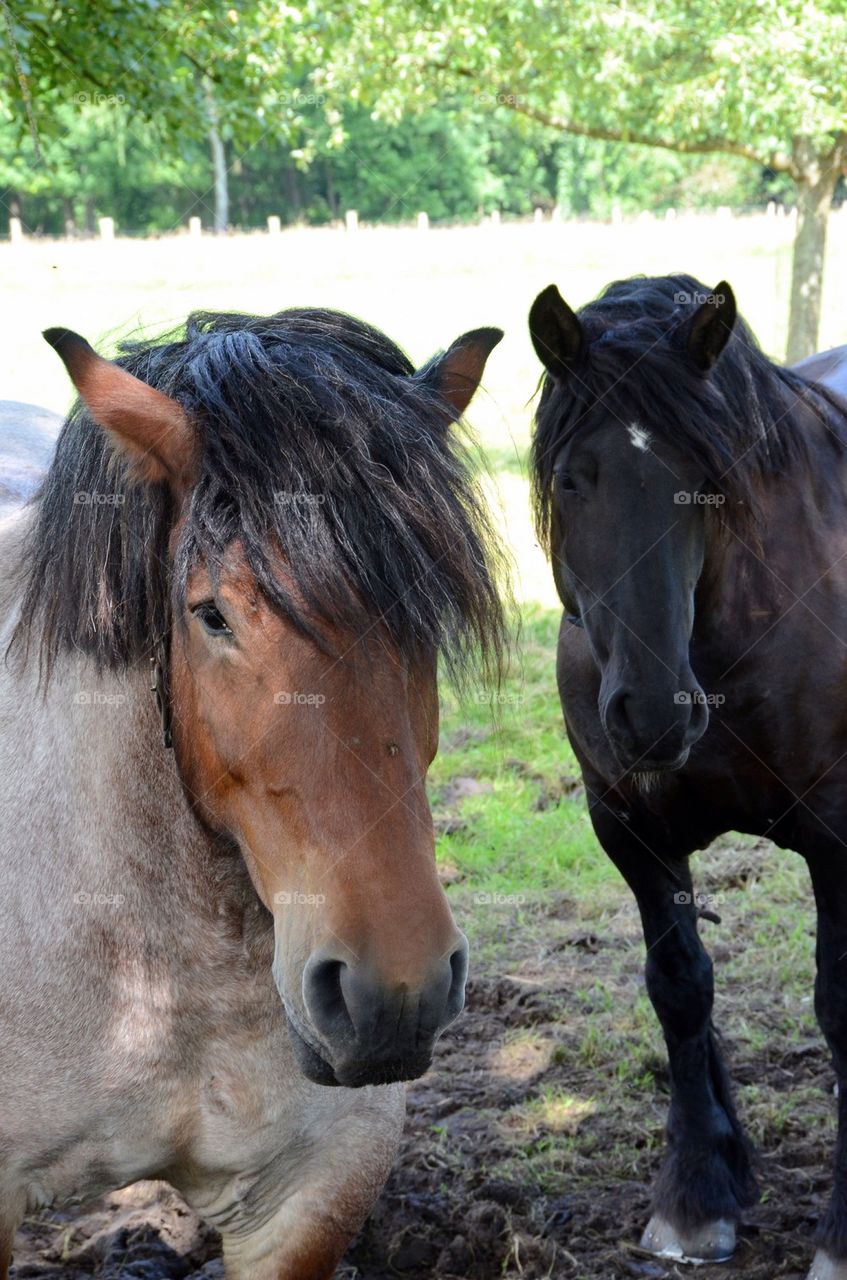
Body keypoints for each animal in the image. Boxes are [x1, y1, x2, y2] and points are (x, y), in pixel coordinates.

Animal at [529, 273, 847, 1280]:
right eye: (571, 478)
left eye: (709, 481)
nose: (652, 714)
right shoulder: (628, 829)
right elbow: (678, 987)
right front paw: (696, 1195)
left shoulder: (839, 835)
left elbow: (837, 1004)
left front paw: (841, 1230)